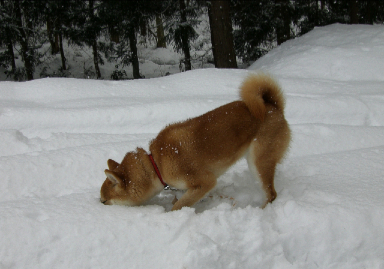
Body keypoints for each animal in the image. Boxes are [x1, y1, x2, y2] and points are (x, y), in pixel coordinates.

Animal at [100, 73, 290, 209]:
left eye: (104, 201)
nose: (98, 205)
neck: (157, 164)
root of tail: (273, 107)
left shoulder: (205, 181)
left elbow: (178, 205)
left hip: (259, 162)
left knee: (272, 194)